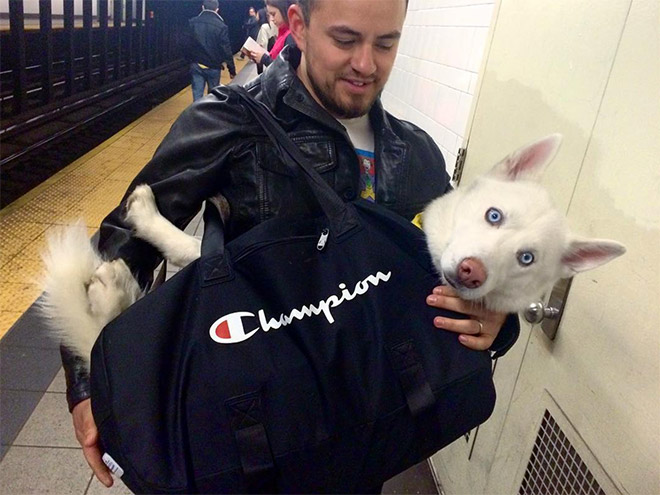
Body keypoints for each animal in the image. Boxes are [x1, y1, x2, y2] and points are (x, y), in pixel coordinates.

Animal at [40, 134, 624, 366]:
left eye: (527, 260)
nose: (471, 273)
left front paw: (143, 217)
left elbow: (186, 246)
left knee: (101, 328)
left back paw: (109, 289)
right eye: (493, 216)